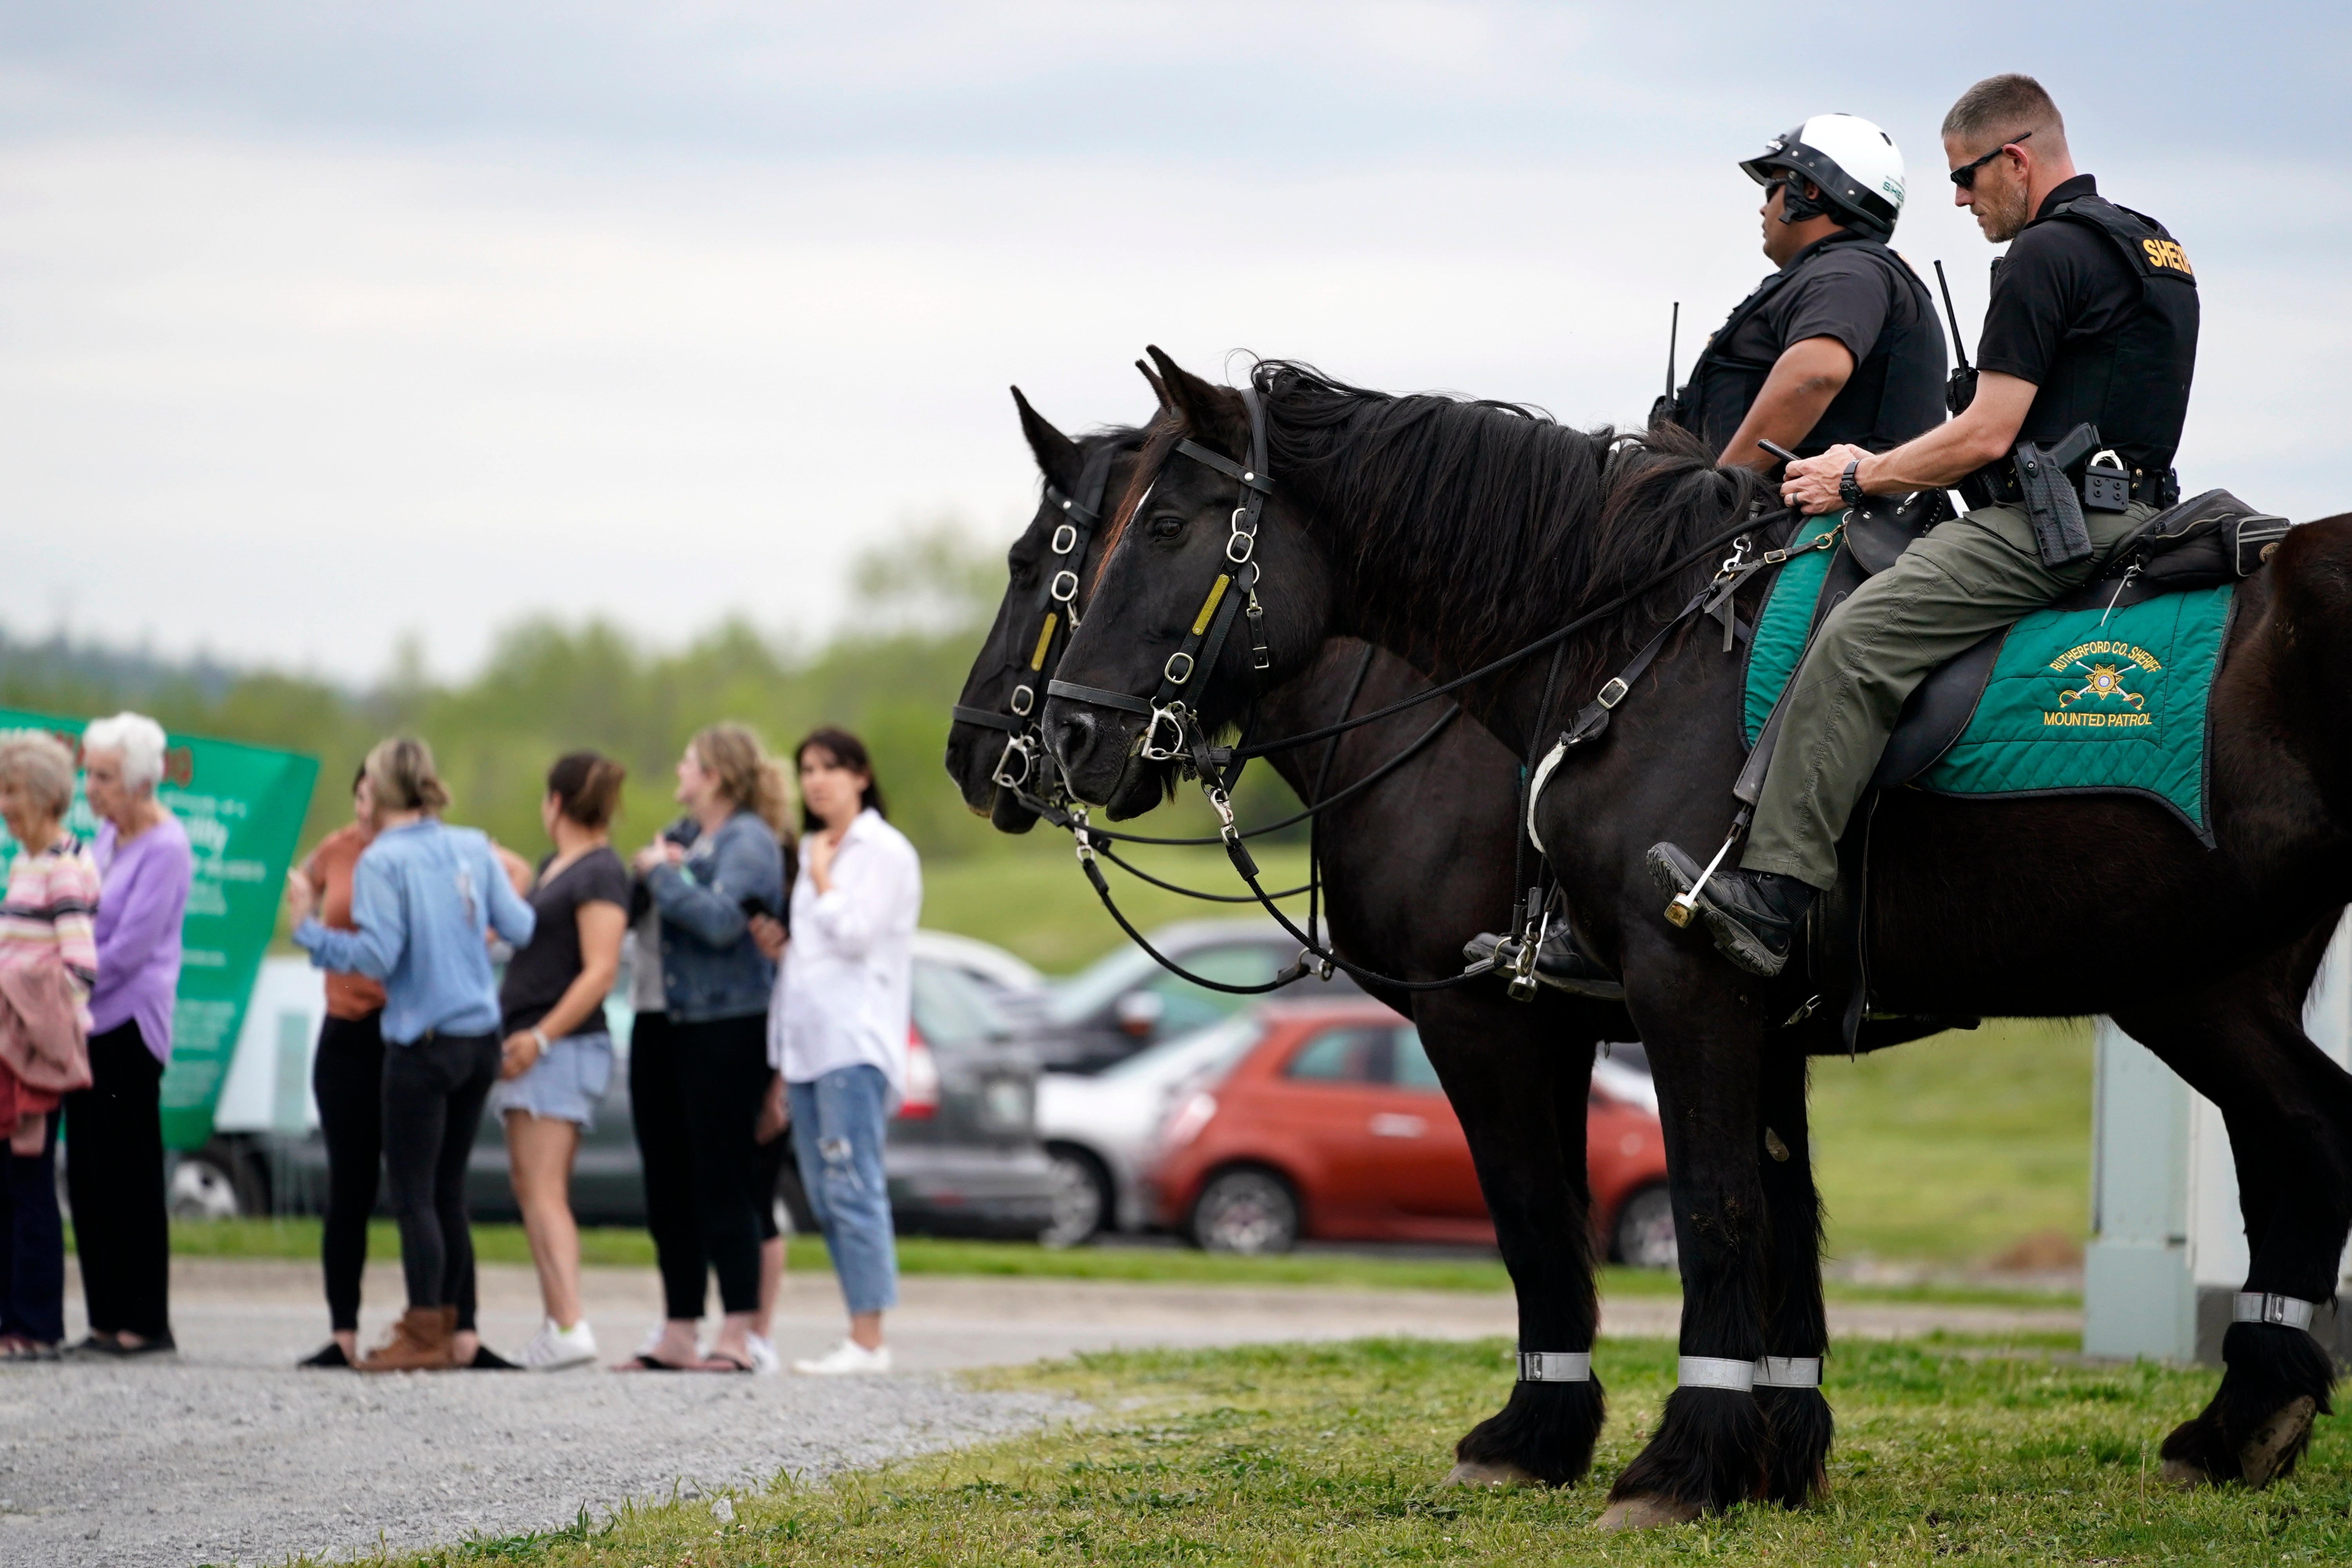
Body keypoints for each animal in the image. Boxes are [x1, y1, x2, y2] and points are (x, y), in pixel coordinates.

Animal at [946, 392, 1646, 1486]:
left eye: (1029, 565)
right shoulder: (1565, 1035)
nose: (972, 750)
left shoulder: (1490, 1022)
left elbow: (1535, 1218)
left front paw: (1538, 1432)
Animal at [1049, 350, 2352, 1523]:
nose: (1055, 741)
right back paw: (2245, 1418)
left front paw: (1665, 1460)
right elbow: (1774, 1219)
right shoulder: (1747, 1023)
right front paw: (1766, 1450)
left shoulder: (1634, 996)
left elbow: (1657, 1212)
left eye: (1163, 524)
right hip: (2204, 983)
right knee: (2305, 1133)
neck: (1636, 642)